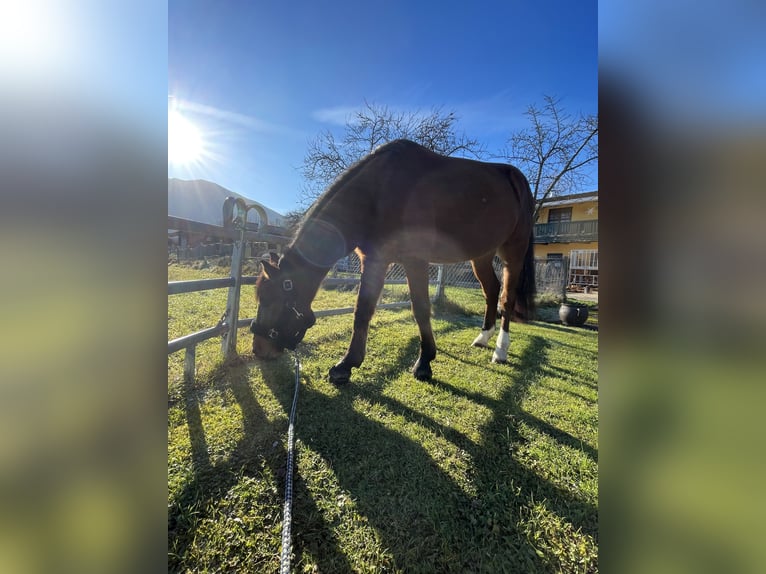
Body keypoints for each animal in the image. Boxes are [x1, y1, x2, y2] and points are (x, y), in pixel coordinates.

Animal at [252, 138, 536, 388]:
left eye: (270, 300)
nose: (258, 350)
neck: (380, 190)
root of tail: (518, 179)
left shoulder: (415, 260)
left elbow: (420, 309)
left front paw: (424, 363)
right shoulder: (374, 259)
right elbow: (362, 311)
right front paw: (346, 365)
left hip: (513, 252)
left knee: (506, 298)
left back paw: (500, 350)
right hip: (481, 256)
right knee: (491, 290)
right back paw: (483, 337)